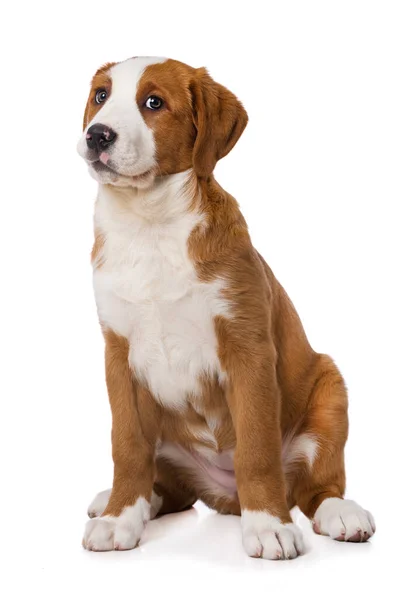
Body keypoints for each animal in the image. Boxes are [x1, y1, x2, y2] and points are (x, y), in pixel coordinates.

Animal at [77, 55, 376, 556]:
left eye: (153, 103)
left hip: (329, 392)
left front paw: (269, 526)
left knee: (317, 487)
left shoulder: (247, 349)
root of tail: (224, 496)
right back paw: (121, 501)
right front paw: (120, 518)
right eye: (101, 95)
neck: (150, 225)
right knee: (170, 489)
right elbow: (128, 445)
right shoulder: (119, 355)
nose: (97, 135)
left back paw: (341, 513)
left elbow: (256, 449)